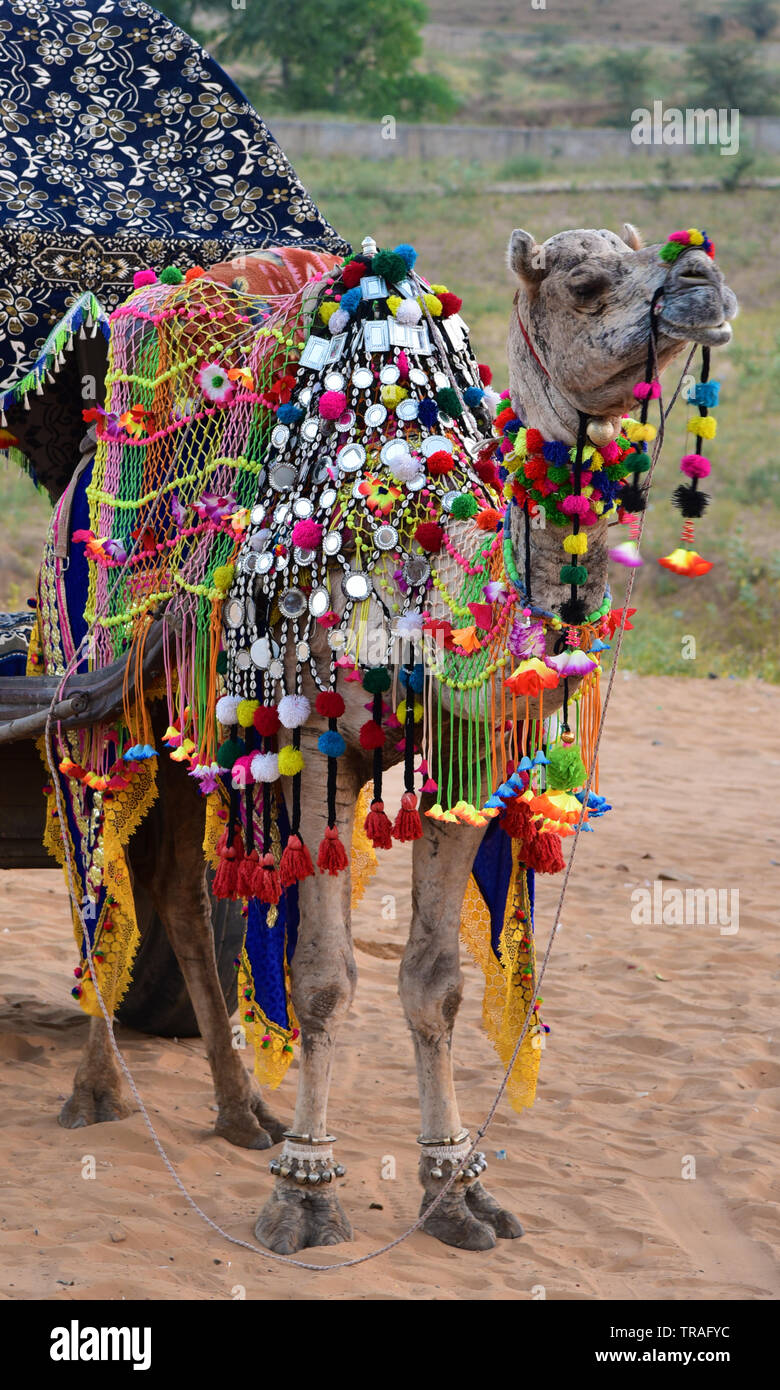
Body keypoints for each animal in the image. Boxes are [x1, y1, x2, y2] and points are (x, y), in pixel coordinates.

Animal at [44, 223, 736, 1255]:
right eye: (584, 280)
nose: (703, 282)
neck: (429, 556)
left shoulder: (467, 766)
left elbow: (434, 981)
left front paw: (454, 1193)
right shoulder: (318, 751)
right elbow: (324, 981)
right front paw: (305, 1198)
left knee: (176, 891)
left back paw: (242, 1113)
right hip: (101, 699)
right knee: (101, 880)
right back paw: (98, 1093)